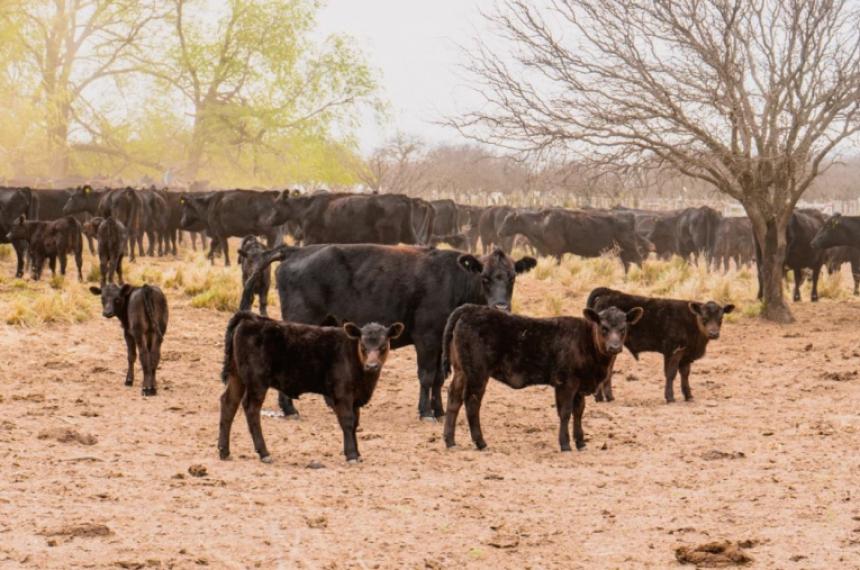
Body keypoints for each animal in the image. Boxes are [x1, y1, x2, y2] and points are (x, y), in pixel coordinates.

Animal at [217, 310, 402, 462]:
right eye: (363, 345)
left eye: (383, 346)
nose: (372, 366)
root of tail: (251, 318)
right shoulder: (342, 393)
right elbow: (348, 421)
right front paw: (351, 455)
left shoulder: (355, 397)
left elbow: (355, 423)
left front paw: (357, 453)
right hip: (257, 381)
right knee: (251, 409)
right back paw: (264, 453)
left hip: (236, 376)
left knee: (229, 403)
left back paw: (224, 451)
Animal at [242, 242, 536, 420]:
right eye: (484, 277)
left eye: (512, 278)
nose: (501, 306)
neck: (452, 280)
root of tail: (295, 250)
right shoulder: (427, 336)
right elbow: (427, 376)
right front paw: (425, 412)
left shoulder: (441, 340)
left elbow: (439, 378)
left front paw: (438, 410)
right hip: (301, 318)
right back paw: (289, 409)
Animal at [440, 304, 640, 450]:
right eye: (604, 328)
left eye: (623, 328)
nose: (614, 347)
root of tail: (470, 309)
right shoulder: (566, 382)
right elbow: (565, 412)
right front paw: (565, 444)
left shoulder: (579, 385)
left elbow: (579, 411)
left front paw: (581, 442)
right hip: (477, 372)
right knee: (472, 402)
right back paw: (480, 442)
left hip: (461, 371)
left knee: (454, 399)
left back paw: (450, 441)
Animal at [498, 210, 644, 270]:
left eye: (508, 220)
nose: (499, 232)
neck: (542, 223)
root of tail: (630, 217)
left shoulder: (557, 252)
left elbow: (557, 265)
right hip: (622, 251)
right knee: (627, 264)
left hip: (630, 248)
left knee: (638, 261)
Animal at [588, 286, 736, 402]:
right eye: (704, 318)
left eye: (721, 319)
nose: (713, 333)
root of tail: (610, 292)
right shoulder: (673, 351)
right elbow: (671, 373)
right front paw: (670, 397)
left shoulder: (685, 354)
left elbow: (685, 374)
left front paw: (688, 396)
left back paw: (606, 397)